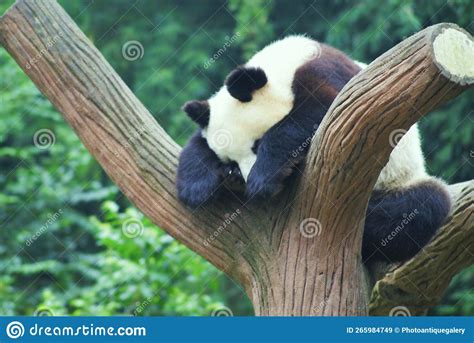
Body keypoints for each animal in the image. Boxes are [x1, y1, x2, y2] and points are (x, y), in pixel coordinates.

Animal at [178, 35, 452, 264]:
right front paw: (195, 187)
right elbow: (196, 144)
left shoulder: (326, 75)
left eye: (257, 144)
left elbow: (314, 113)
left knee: (419, 206)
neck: (284, 62)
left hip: (398, 180)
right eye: (230, 161)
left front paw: (263, 181)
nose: (242, 178)